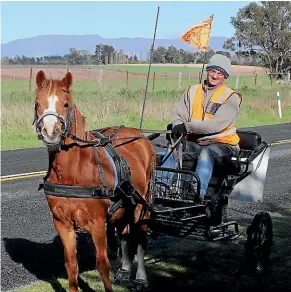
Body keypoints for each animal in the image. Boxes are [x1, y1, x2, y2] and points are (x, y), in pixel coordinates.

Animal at [34, 71, 156, 292]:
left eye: (66, 104)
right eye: (38, 103)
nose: (51, 132)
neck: (74, 172)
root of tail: (142, 137)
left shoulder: (97, 223)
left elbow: (102, 264)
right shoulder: (62, 223)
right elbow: (71, 264)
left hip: (142, 205)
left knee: (140, 238)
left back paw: (141, 278)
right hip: (124, 206)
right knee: (125, 234)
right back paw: (124, 271)